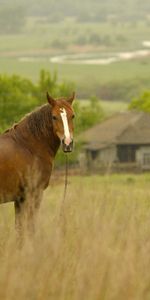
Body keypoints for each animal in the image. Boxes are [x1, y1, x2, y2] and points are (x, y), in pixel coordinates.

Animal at [0, 92, 75, 240]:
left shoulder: (20, 199)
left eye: (72, 116)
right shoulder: (33, 194)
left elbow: (20, 230)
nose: (67, 143)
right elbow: (29, 229)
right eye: (54, 117)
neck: (28, 146)